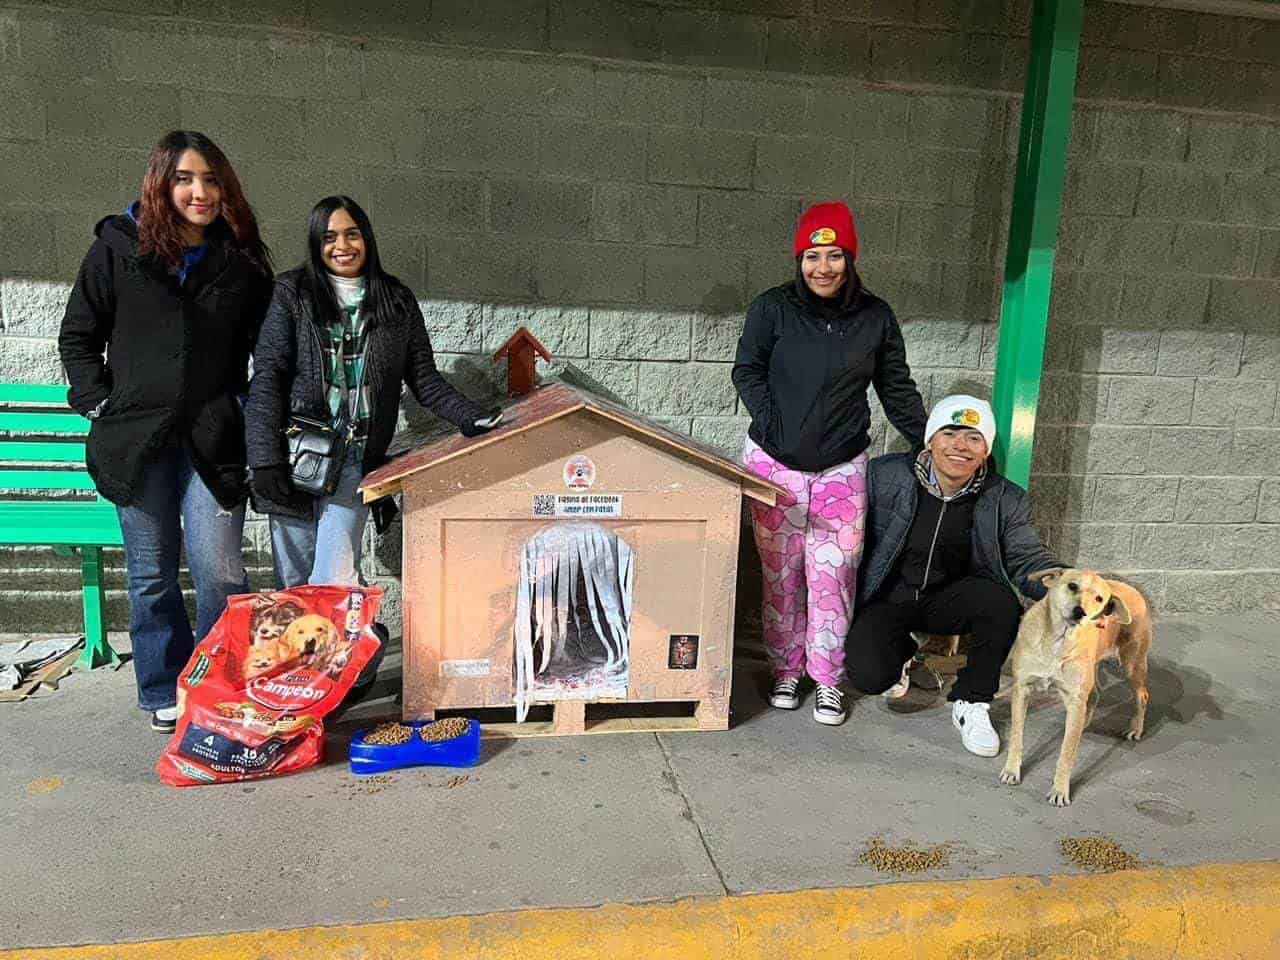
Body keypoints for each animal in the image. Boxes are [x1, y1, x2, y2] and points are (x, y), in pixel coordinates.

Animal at [998, 568, 1152, 808]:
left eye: (1099, 598)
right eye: (1072, 586)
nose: (1081, 612)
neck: (1057, 642)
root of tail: (1133, 589)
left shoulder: (1074, 698)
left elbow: (1066, 754)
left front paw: (1060, 790)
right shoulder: (1022, 690)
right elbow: (1016, 737)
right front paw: (1012, 770)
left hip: (1131, 666)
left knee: (1142, 695)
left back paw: (1135, 728)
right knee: (1095, 695)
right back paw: (1085, 724)